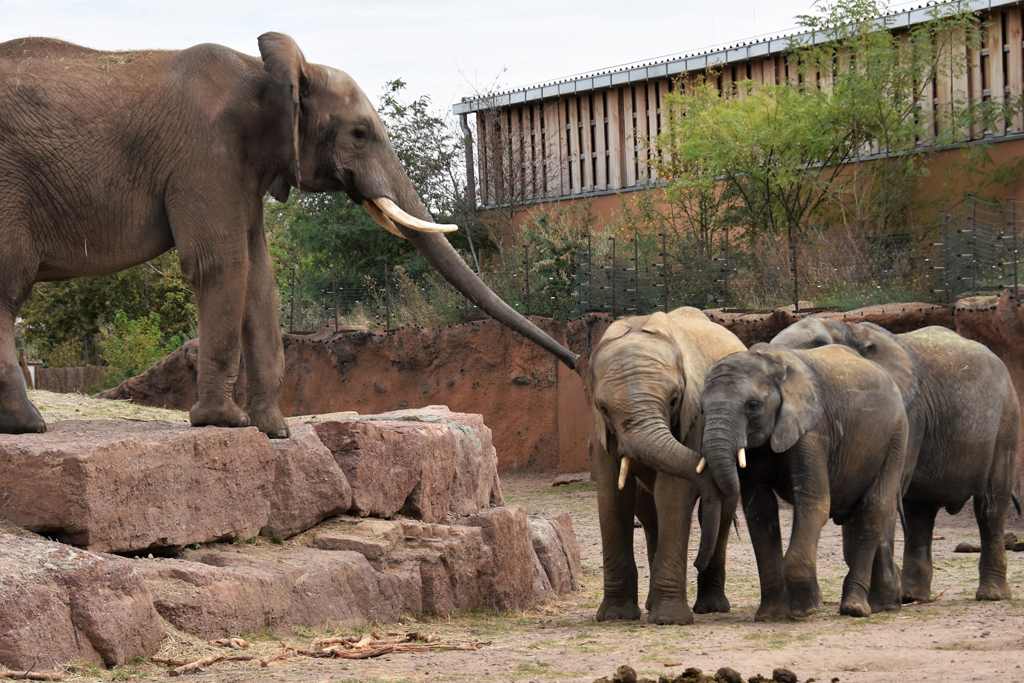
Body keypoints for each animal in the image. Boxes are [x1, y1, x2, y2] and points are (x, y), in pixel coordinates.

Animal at [0, 31, 577, 436]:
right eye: (360, 134)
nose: (574, 363)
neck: (266, 70)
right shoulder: (206, 155)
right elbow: (224, 264)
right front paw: (223, 423)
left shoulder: (242, 169)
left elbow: (260, 275)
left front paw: (274, 432)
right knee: (9, 285)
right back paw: (29, 425)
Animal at [593, 309, 745, 626]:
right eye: (604, 409)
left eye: (674, 400)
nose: (697, 561)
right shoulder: (601, 430)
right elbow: (613, 496)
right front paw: (615, 616)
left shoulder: (694, 413)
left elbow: (673, 493)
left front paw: (669, 620)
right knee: (649, 514)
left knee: (722, 513)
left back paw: (711, 607)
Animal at [700, 344, 909, 618]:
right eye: (701, 410)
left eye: (752, 405)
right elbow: (759, 511)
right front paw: (770, 614)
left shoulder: (813, 431)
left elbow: (814, 503)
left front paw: (805, 608)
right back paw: (884, 604)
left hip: (896, 437)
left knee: (875, 508)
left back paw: (855, 608)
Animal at [774, 317, 1015, 602]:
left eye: (819, 344)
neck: (855, 329)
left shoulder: (906, 414)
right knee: (919, 512)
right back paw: (912, 596)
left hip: (1006, 421)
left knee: (991, 505)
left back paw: (992, 595)